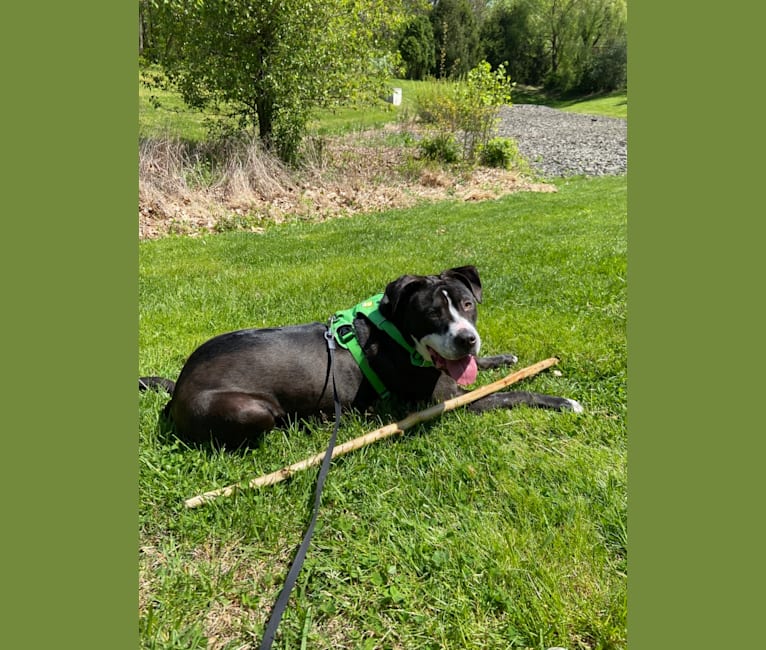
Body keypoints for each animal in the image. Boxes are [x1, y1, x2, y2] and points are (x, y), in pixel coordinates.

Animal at [141, 264, 584, 446]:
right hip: (250, 410)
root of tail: (179, 386)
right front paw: (562, 401)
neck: (398, 331)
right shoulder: (448, 399)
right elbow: (511, 394)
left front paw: (504, 359)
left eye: (467, 304)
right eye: (431, 314)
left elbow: (493, 372)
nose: (466, 339)